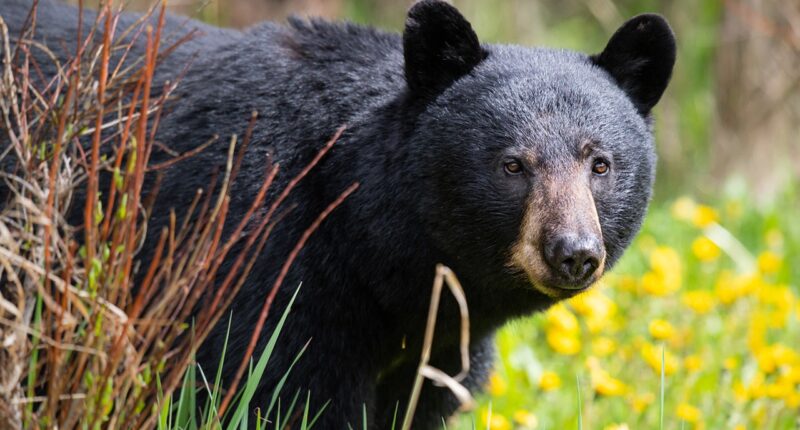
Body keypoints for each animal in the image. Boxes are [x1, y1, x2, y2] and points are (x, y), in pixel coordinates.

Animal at [1, 0, 676, 426]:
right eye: (513, 165)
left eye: (600, 163)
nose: (573, 252)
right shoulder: (263, 264)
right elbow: (280, 390)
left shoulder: (439, 346)